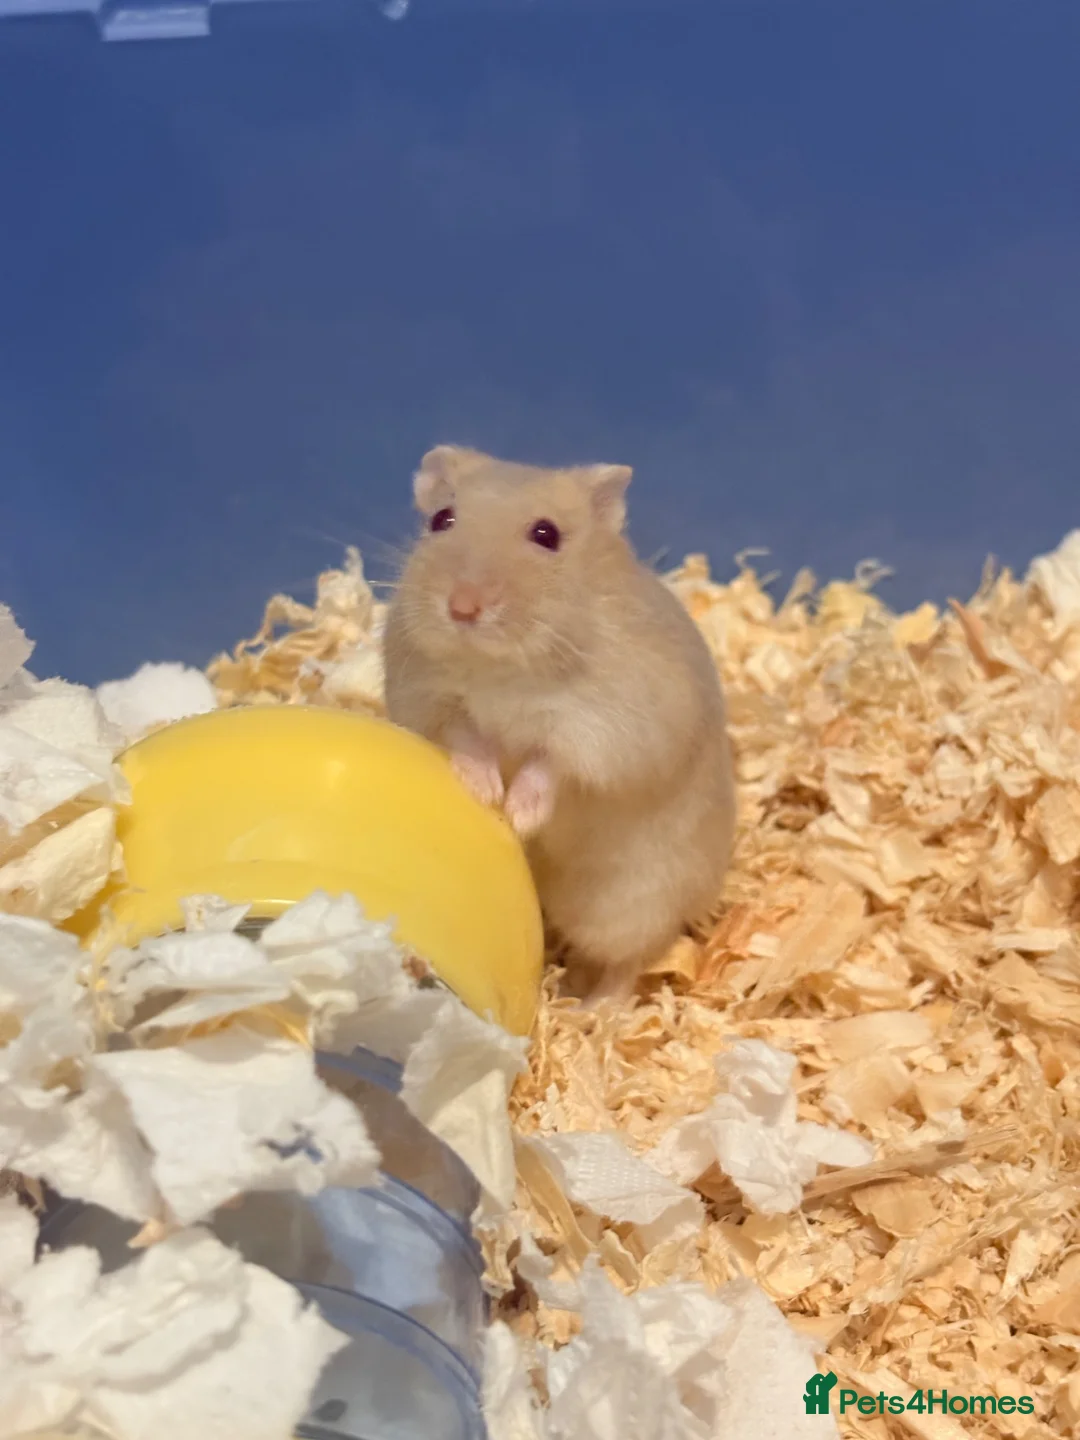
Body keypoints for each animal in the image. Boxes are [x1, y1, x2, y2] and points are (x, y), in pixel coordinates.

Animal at [382, 445, 736, 1006]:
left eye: (546, 535)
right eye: (442, 519)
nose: (462, 608)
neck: (501, 669)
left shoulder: (602, 728)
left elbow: (551, 762)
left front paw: (518, 812)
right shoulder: (430, 698)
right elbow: (467, 735)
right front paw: (486, 793)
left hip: (632, 901)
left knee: (629, 959)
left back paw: (596, 1009)